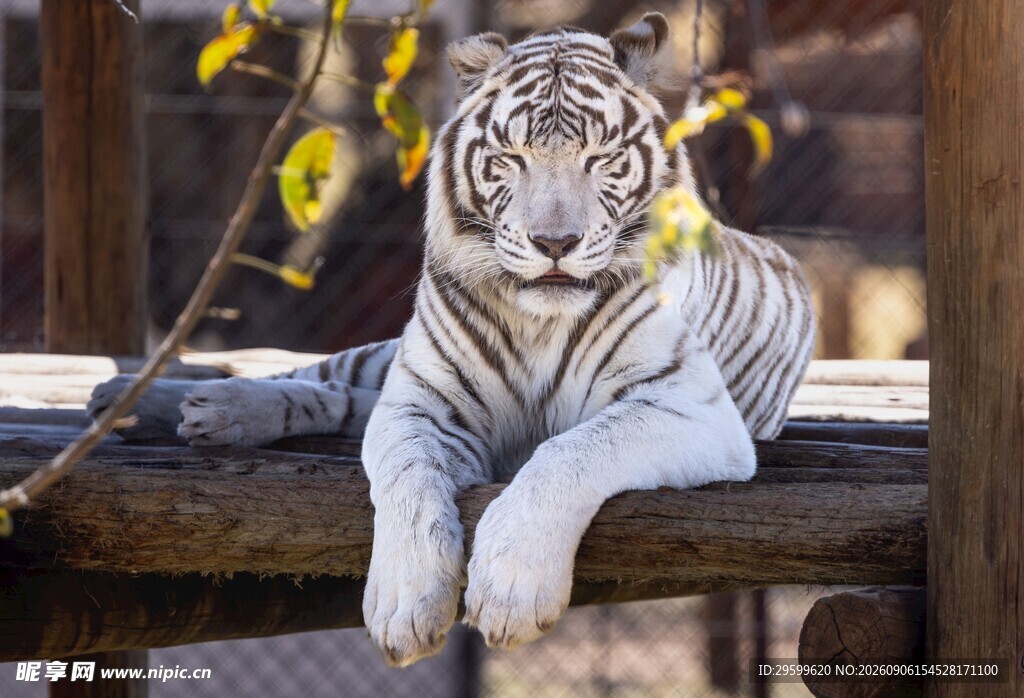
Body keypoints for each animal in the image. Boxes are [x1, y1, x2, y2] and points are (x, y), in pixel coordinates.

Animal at [88, 13, 815, 667]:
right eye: (512, 158)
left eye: (599, 158)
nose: (556, 243)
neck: (538, 319)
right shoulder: (418, 403)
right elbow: (408, 481)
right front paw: (404, 605)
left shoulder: (687, 406)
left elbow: (569, 451)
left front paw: (512, 591)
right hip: (385, 360)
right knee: (320, 383)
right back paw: (147, 400)